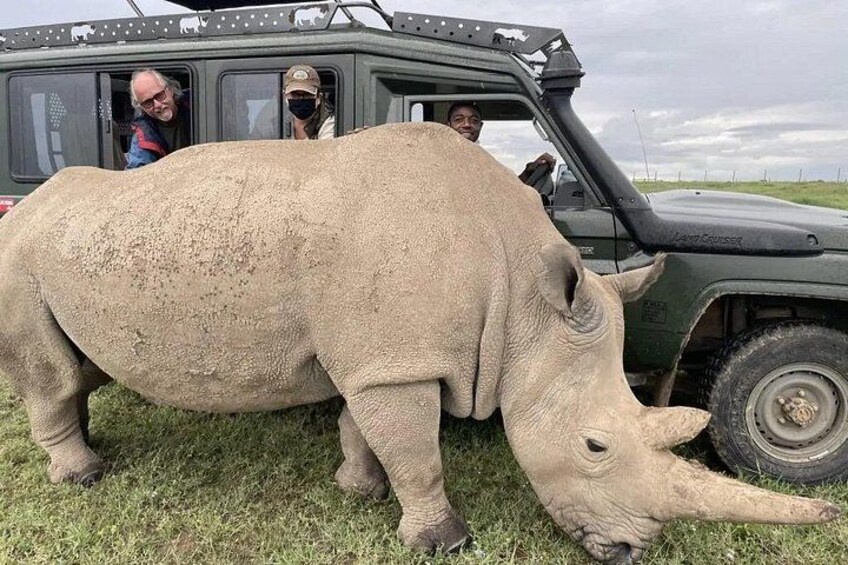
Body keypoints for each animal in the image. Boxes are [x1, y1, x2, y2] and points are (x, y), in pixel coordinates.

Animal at [0, 123, 838, 563]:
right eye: (595, 445)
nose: (630, 552)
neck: (525, 300)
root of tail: (25, 204)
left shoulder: (380, 357)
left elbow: (363, 429)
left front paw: (358, 489)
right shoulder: (394, 365)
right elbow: (419, 450)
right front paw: (443, 539)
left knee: (73, 370)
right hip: (18, 252)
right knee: (49, 374)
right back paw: (83, 475)